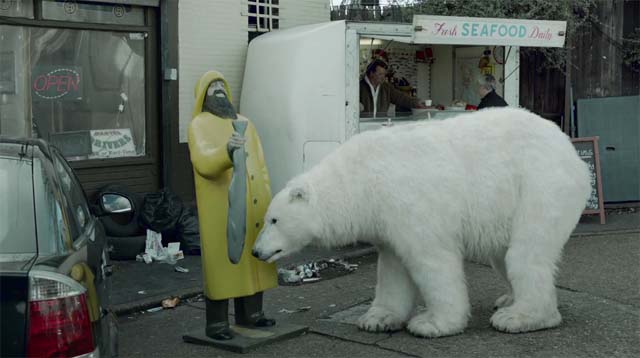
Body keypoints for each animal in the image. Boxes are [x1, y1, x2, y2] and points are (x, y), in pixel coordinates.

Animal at [250, 107, 592, 338]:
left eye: (273, 220)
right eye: (264, 220)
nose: (255, 251)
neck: (362, 179)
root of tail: (572, 150)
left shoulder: (409, 204)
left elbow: (432, 260)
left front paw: (432, 323)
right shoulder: (384, 219)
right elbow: (391, 268)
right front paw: (377, 319)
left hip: (540, 186)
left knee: (526, 252)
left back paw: (519, 316)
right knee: (503, 254)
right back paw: (507, 299)